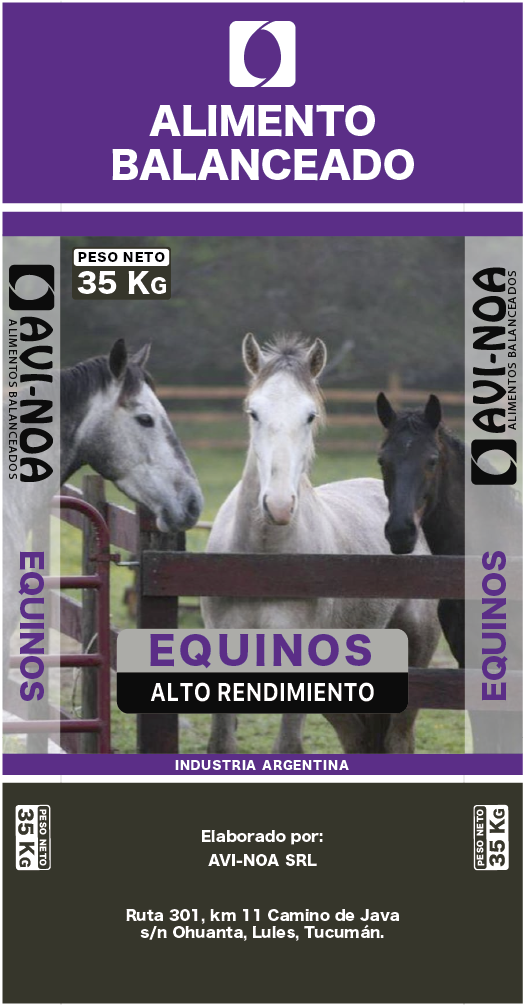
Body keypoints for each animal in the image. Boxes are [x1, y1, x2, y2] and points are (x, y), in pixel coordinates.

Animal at [201, 334, 439, 754]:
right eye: (253, 412)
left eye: (310, 416)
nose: (279, 505)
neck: (261, 563)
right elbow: (222, 744)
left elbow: (288, 747)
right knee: (358, 739)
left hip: (416, 654)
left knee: (398, 738)